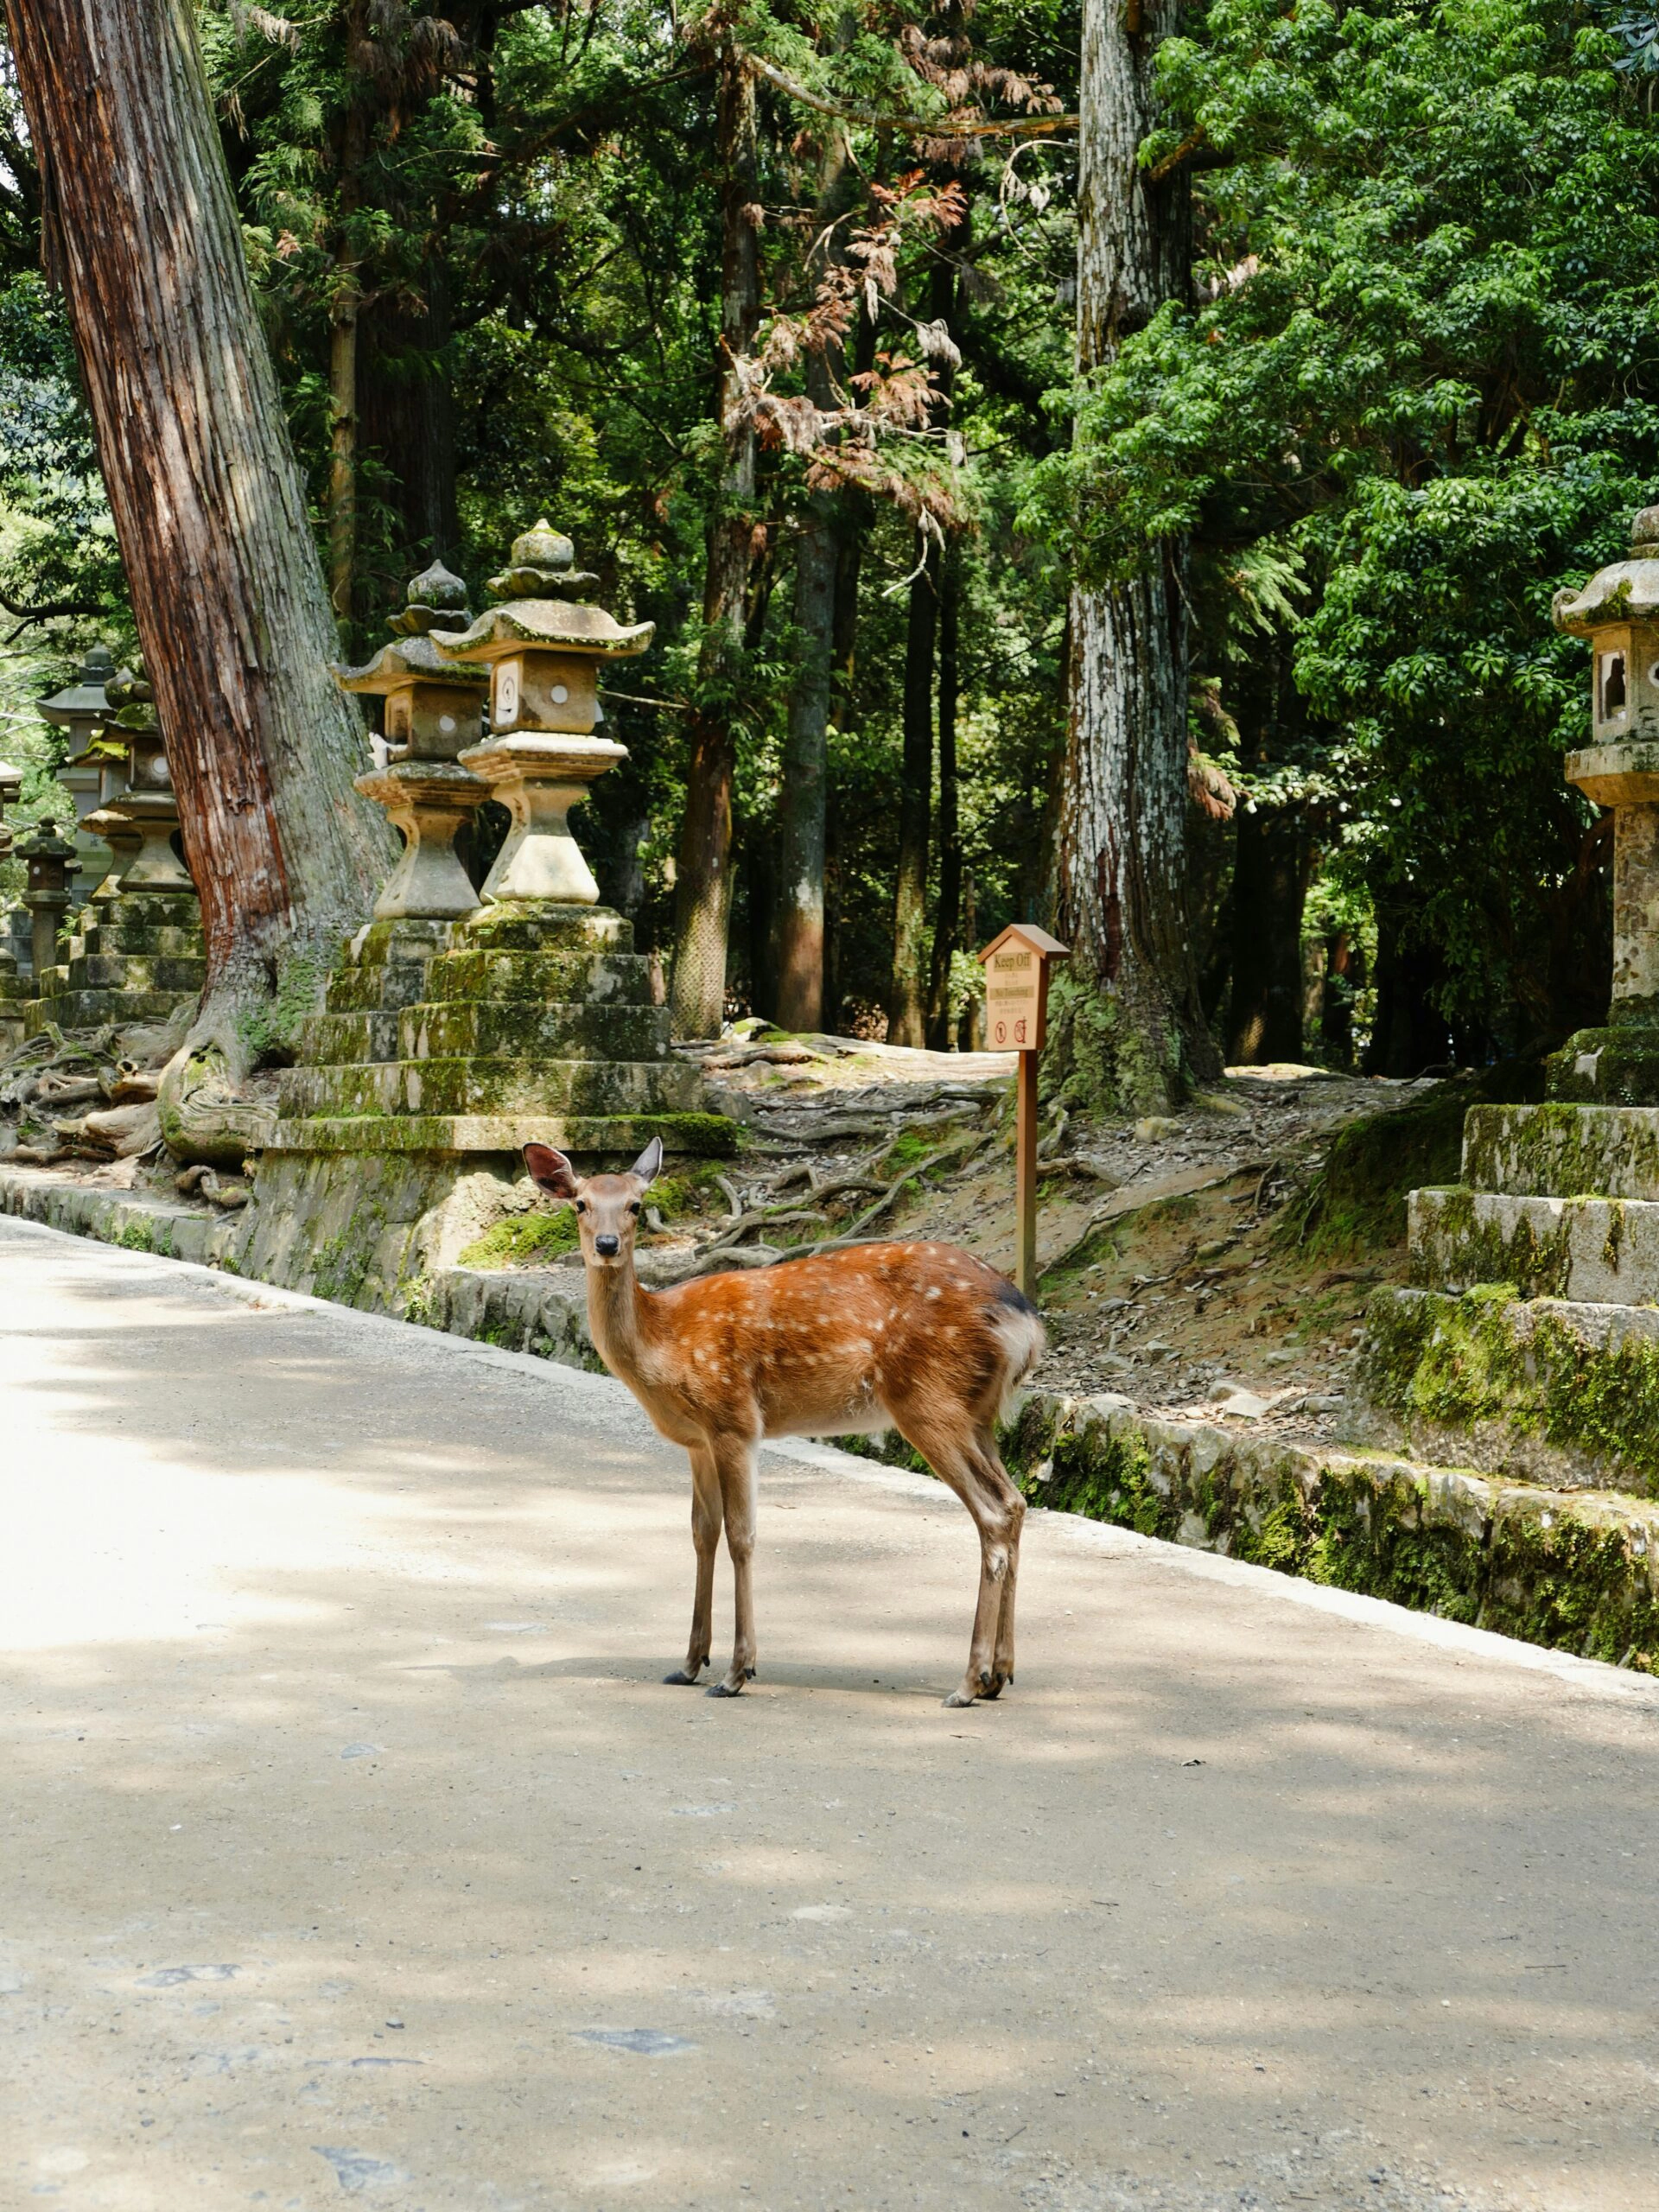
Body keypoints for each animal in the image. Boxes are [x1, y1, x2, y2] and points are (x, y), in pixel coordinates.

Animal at [523, 1137, 1044, 1707]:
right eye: (581, 1204)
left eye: (636, 1205)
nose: (608, 1244)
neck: (664, 1346)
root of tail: (1024, 1321)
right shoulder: (696, 1442)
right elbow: (702, 1533)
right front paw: (689, 1664)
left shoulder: (733, 1419)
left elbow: (741, 1535)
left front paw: (737, 1672)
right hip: (977, 1414)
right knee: (1016, 1503)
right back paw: (1000, 1673)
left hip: (929, 1400)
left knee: (992, 1513)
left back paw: (968, 1683)